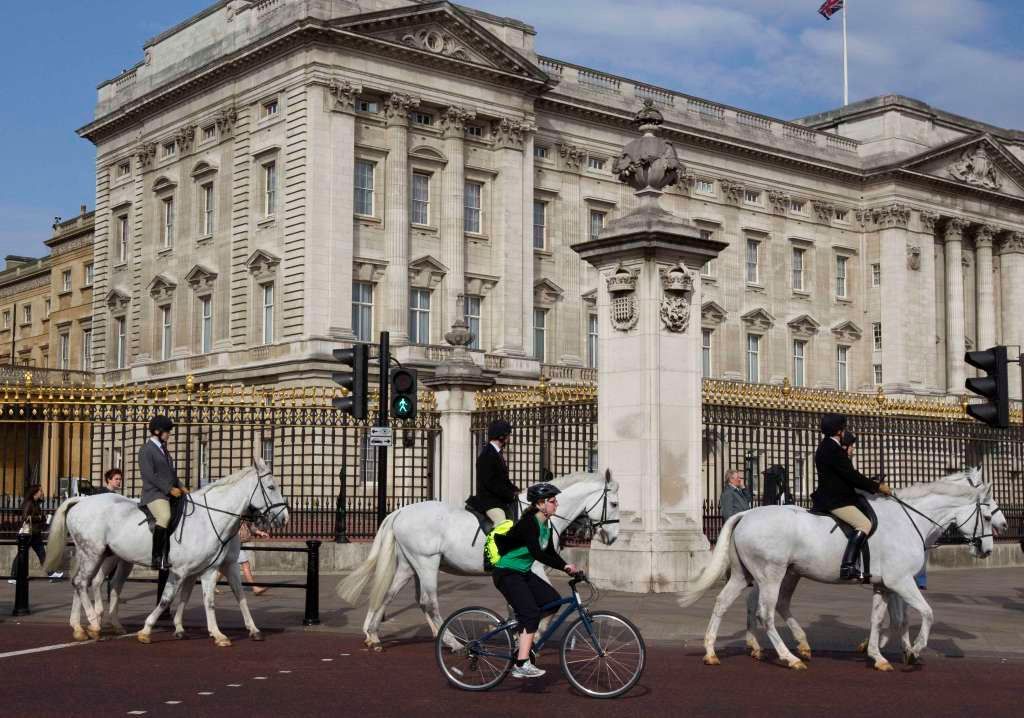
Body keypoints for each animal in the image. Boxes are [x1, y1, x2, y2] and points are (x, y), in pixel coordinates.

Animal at [45, 462, 288, 647]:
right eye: (271, 486)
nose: (284, 517)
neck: (210, 518)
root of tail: (82, 500)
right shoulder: (189, 570)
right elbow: (171, 599)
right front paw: (148, 630)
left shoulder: (212, 568)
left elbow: (230, 597)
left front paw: (250, 629)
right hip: (93, 552)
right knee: (82, 582)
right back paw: (93, 623)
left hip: (106, 556)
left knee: (94, 583)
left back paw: (86, 626)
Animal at [339, 471, 618, 651]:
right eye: (614, 503)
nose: (613, 537)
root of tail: (401, 511)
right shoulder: (535, 568)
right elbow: (544, 605)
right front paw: (533, 635)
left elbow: (515, 604)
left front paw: (517, 633)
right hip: (426, 563)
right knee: (428, 602)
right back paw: (453, 642)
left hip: (410, 566)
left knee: (389, 595)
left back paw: (375, 636)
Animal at [679, 467, 999, 667]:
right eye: (986, 513)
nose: (987, 549)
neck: (908, 519)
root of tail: (746, 514)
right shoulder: (901, 581)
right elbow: (927, 613)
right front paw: (914, 650)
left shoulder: (886, 583)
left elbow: (886, 619)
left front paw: (879, 654)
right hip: (771, 574)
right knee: (765, 613)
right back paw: (789, 657)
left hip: (757, 574)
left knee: (726, 603)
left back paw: (713, 651)